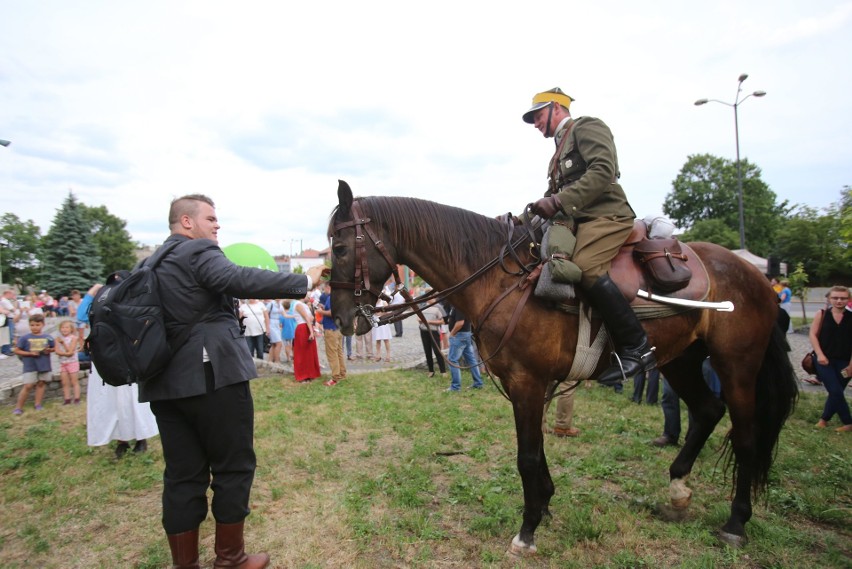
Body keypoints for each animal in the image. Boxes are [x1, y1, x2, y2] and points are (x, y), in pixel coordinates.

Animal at [324, 179, 800, 556]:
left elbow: (528, 456)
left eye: (341, 246)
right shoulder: (530, 384)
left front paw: (528, 529)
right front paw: (546, 504)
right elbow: (537, 451)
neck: (499, 278)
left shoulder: (528, 382)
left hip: (737, 367)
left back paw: (736, 522)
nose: (343, 318)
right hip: (680, 360)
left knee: (744, 435)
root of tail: (754, 276)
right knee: (706, 411)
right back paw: (679, 489)